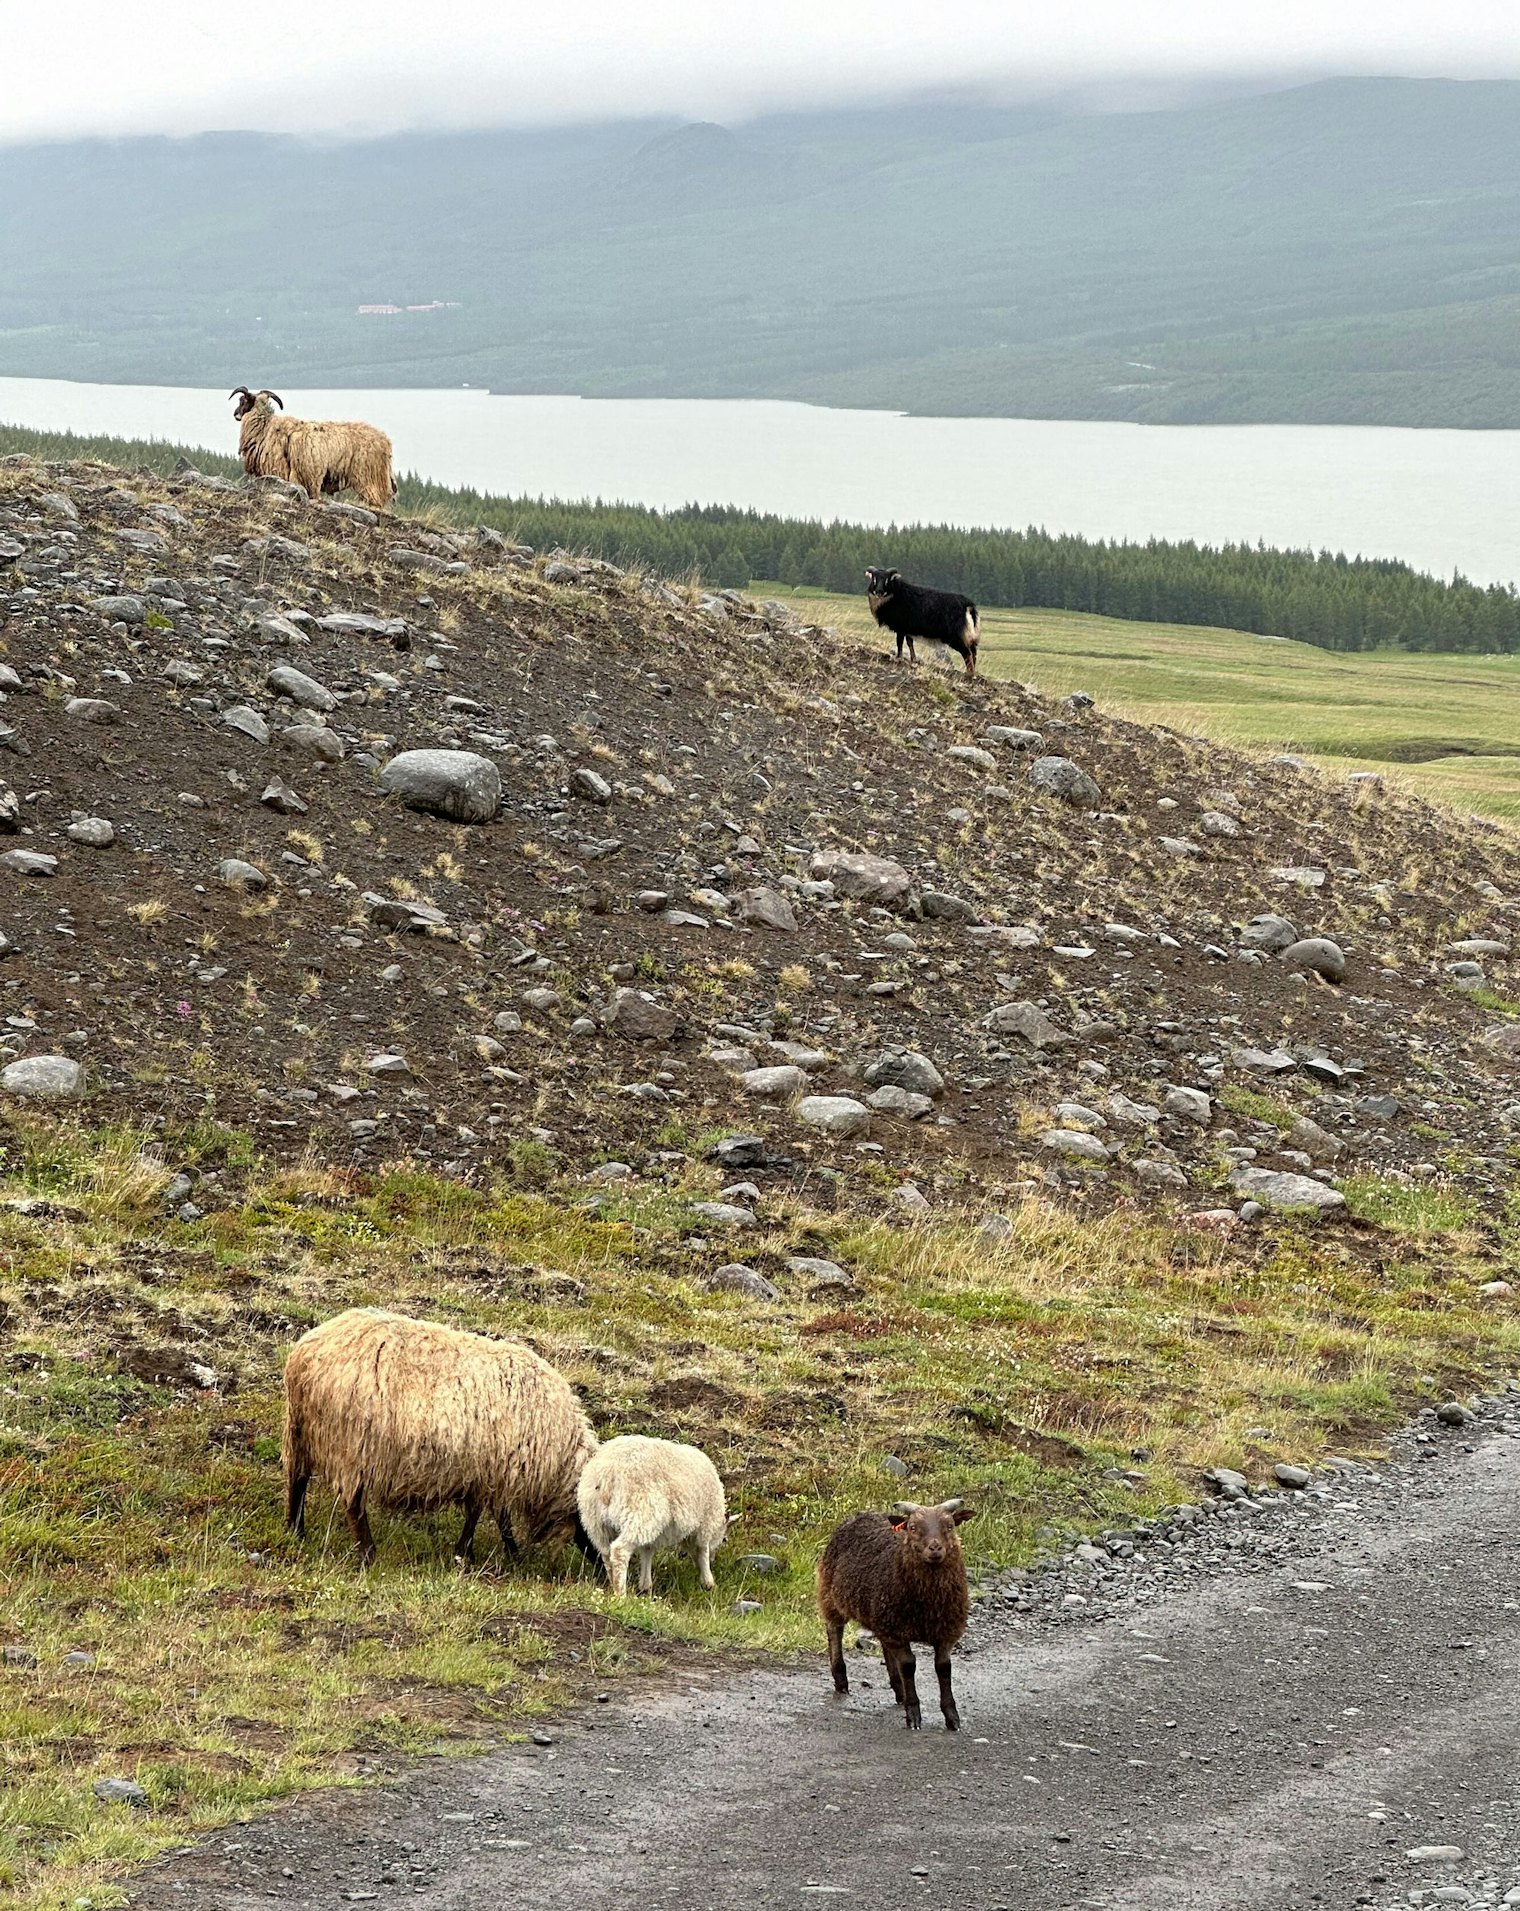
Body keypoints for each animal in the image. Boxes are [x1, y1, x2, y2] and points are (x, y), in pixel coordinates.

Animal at [282, 1307, 599, 1567]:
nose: (601, 1575)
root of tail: (305, 1355)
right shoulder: (494, 1471)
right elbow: (484, 1516)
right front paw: (472, 1554)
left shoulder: (488, 1472)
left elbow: (493, 1516)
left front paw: (505, 1552)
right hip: (352, 1446)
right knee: (352, 1505)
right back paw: (368, 1554)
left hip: (302, 1433)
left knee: (298, 1481)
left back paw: (296, 1531)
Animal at [576, 1434, 733, 1596]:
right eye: (723, 1539)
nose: (714, 1559)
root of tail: (607, 1472)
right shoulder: (705, 1524)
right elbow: (703, 1550)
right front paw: (709, 1582)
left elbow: (647, 1551)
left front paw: (645, 1586)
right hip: (640, 1513)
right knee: (620, 1551)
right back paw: (621, 1594)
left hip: (596, 1521)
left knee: (606, 1553)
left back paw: (613, 1584)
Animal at [816, 1498, 975, 1730]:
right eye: (913, 1528)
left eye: (949, 1526)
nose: (935, 1548)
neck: (929, 1604)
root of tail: (862, 1513)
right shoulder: (898, 1631)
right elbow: (908, 1665)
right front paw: (913, 1714)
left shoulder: (946, 1631)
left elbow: (943, 1667)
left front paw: (952, 1717)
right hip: (831, 1595)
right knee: (834, 1629)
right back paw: (841, 1680)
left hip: (882, 1615)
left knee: (884, 1646)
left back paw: (898, 1690)